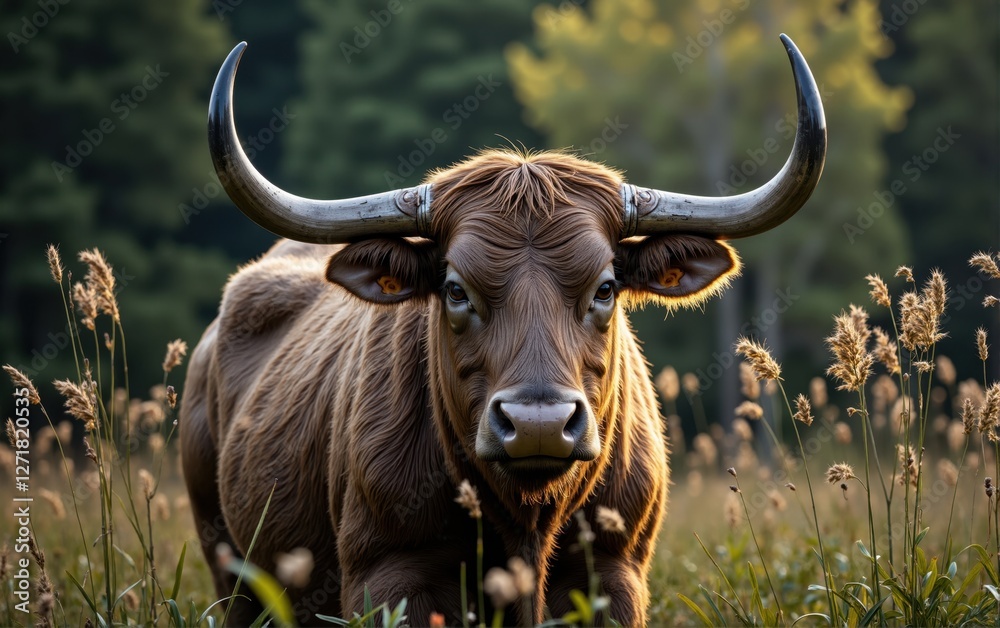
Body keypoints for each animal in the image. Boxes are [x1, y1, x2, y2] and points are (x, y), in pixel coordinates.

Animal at [180, 34, 825, 626]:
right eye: (455, 289)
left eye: (605, 288)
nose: (539, 424)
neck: (527, 521)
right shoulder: (388, 576)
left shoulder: (614, 571)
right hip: (230, 569)